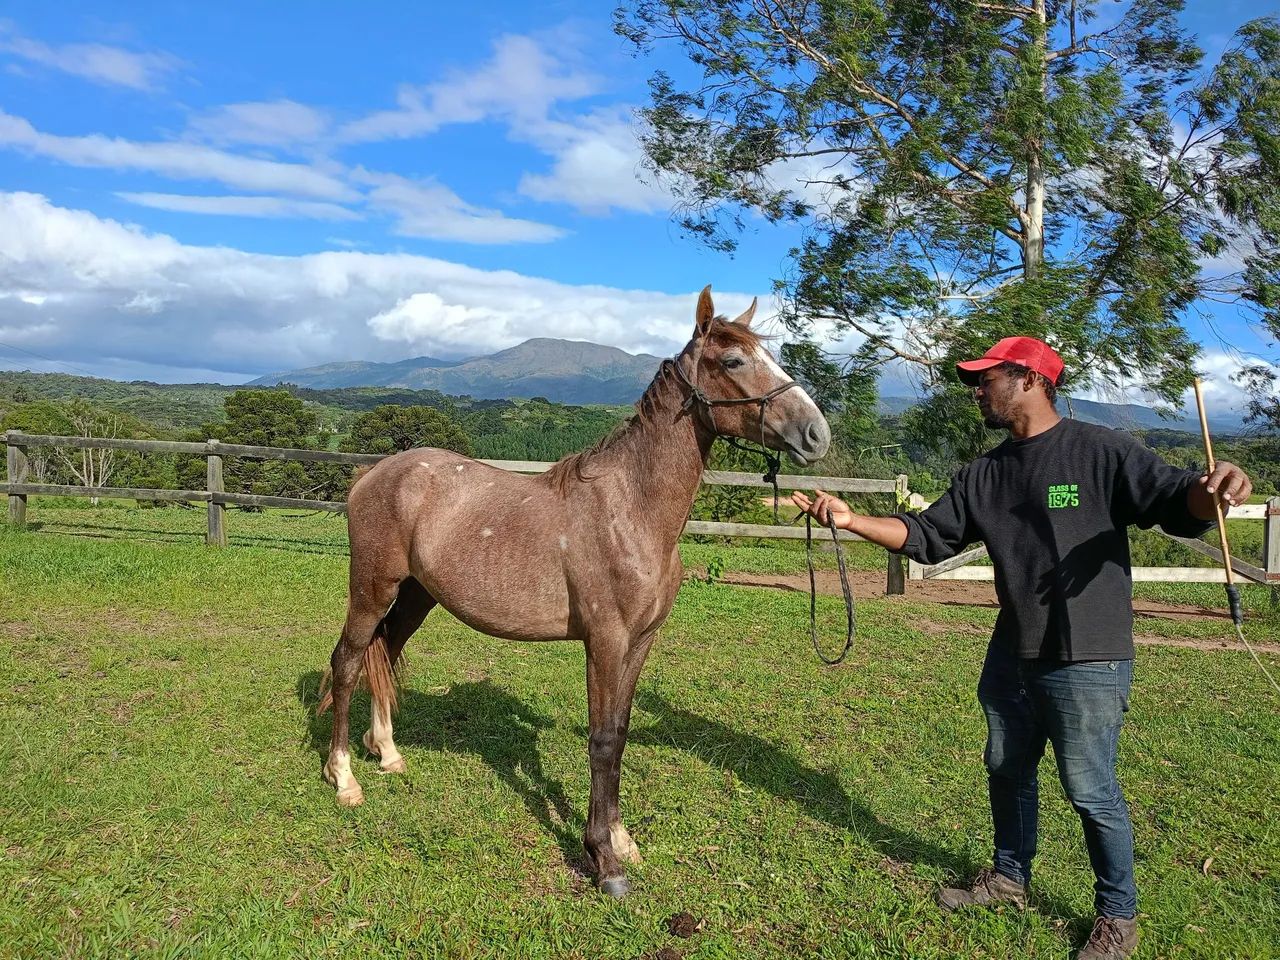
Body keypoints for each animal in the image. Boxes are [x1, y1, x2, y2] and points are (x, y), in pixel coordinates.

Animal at [316, 286, 831, 897]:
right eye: (733, 361)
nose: (817, 434)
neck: (631, 509)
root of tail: (371, 475)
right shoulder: (605, 640)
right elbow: (602, 739)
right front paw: (603, 860)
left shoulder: (639, 643)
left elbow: (622, 733)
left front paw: (622, 840)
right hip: (371, 589)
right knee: (348, 661)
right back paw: (344, 778)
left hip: (417, 596)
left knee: (386, 652)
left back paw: (389, 753)